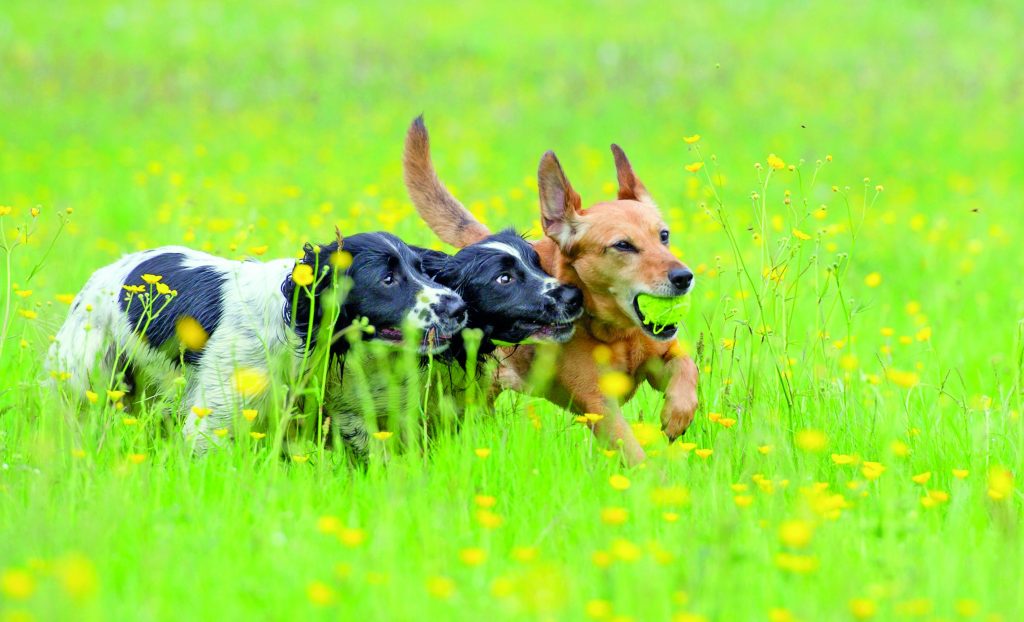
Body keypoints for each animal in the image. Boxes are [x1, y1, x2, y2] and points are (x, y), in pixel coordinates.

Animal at [47, 229, 464, 452]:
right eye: (387, 279)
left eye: (421, 269)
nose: (459, 307)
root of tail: (104, 274)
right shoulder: (213, 420)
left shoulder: (351, 419)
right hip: (83, 382)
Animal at [403, 119, 700, 465]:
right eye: (623, 245)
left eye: (663, 236)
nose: (684, 277)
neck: (615, 334)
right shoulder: (599, 403)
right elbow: (633, 452)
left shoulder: (661, 358)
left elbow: (687, 366)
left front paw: (677, 414)